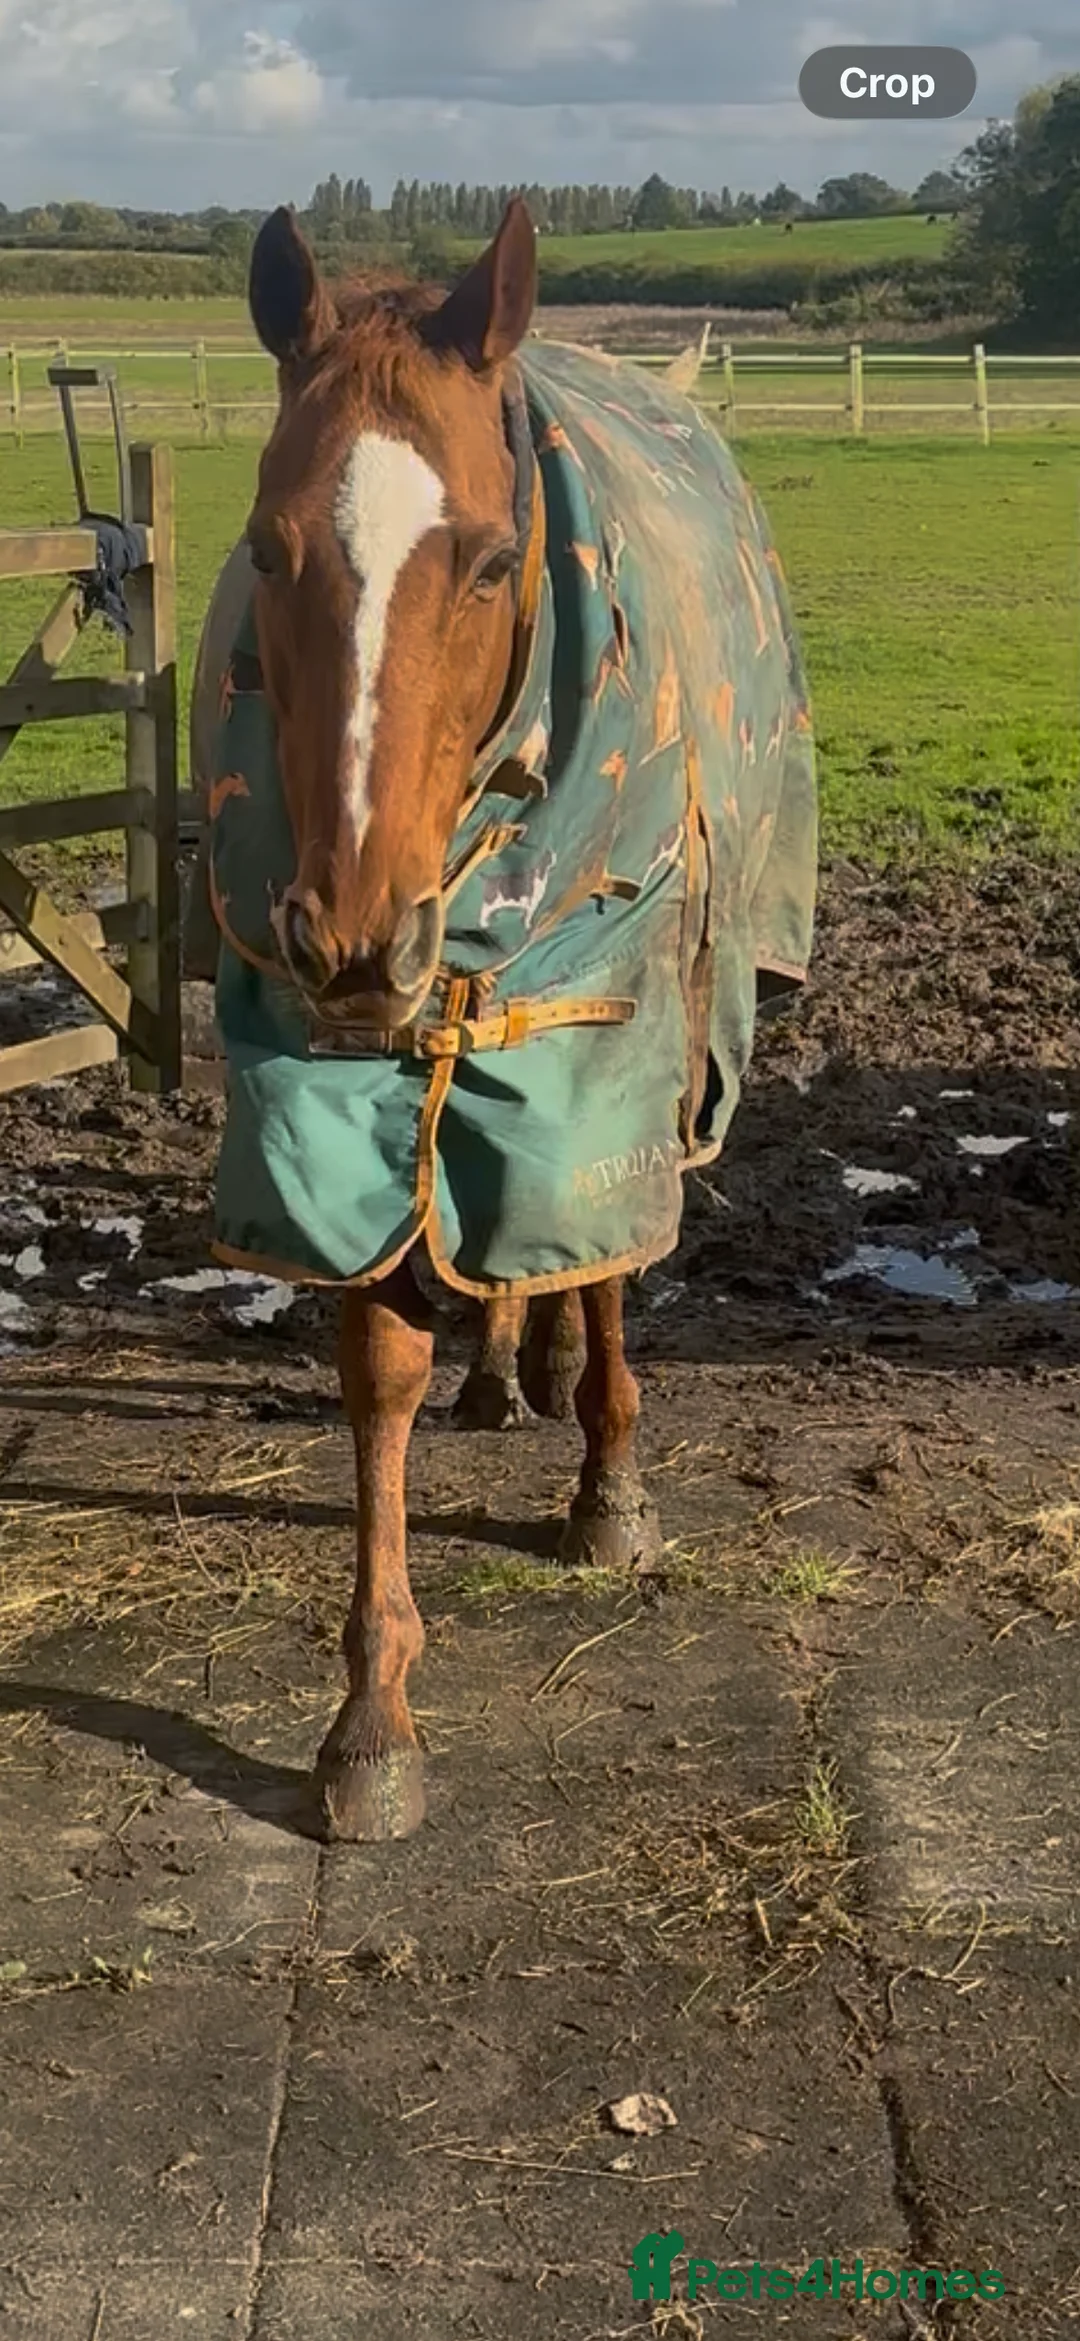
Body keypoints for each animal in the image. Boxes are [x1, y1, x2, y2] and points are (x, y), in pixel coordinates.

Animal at [192, 198, 817, 1844]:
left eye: (483, 562)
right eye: (269, 548)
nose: (352, 936)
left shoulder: (603, 1034)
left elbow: (603, 1259)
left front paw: (612, 1491)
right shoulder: (341, 1093)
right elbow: (383, 1364)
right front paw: (371, 1720)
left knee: (579, 1257)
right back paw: (498, 1375)